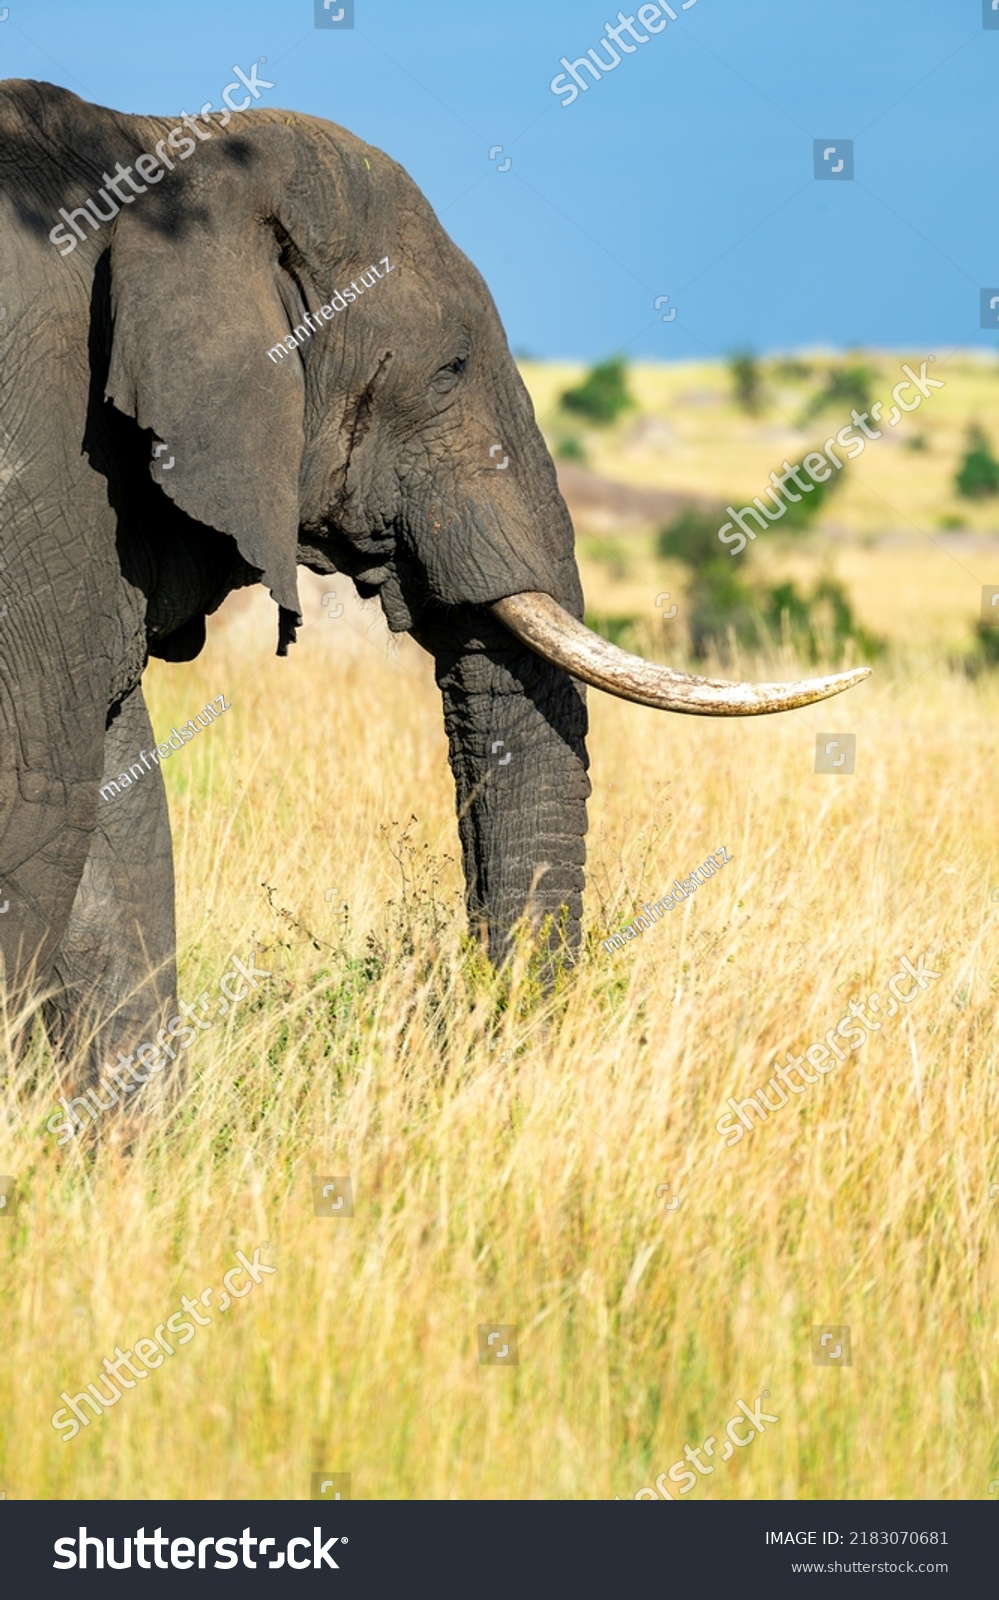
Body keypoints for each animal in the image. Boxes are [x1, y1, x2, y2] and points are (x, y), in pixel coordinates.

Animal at [0, 72, 864, 1075]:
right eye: (449, 369)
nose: (481, 1028)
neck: (159, 154)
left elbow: (121, 812)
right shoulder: (43, 461)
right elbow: (39, 788)